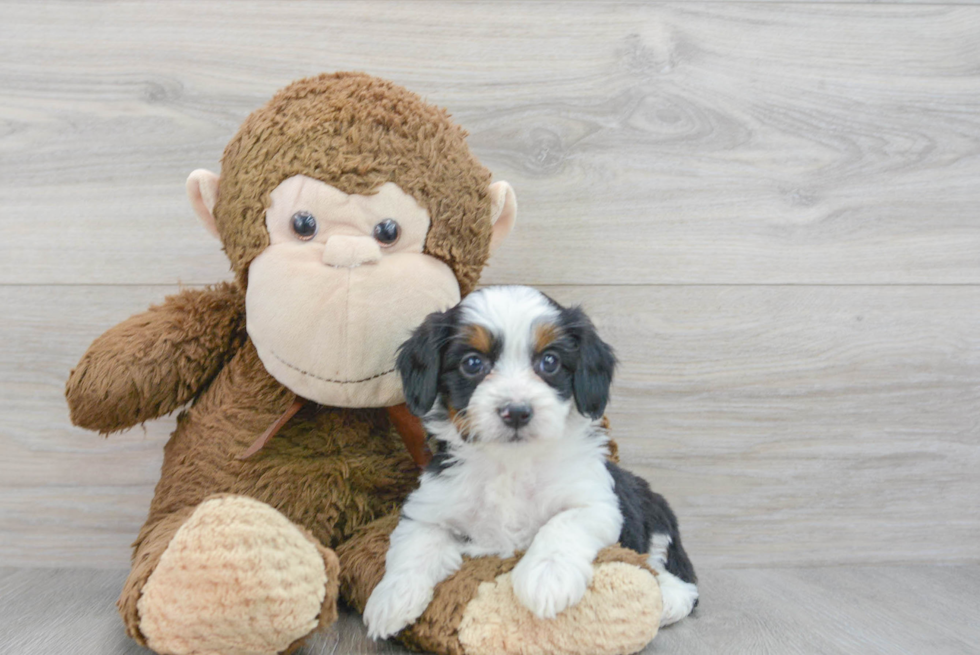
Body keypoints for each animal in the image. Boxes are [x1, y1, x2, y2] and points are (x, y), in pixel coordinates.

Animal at [366, 284, 696, 640]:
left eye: (549, 361)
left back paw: (670, 597)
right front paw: (391, 598)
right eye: (472, 362)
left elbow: (562, 524)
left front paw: (547, 578)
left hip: (654, 515)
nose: (517, 411)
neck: (511, 462)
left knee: (675, 574)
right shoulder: (430, 507)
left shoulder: (597, 503)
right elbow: (415, 545)